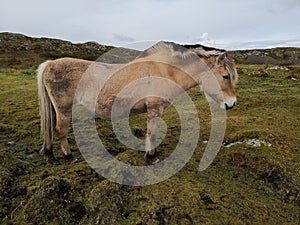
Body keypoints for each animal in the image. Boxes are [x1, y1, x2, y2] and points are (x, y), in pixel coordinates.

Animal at [37, 41, 238, 163]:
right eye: (225, 76)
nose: (232, 103)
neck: (165, 71)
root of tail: (50, 64)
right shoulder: (155, 109)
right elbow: (151, 133)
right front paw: (152, 157)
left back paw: (49, 153)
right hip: (64, 109)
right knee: (60, 129)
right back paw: (69, 156)